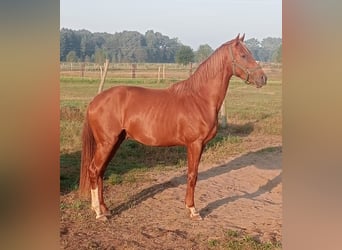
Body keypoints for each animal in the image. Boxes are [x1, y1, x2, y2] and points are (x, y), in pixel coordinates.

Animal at [78, 33, 268, 221]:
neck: (200, 98)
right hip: (107, 143)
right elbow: (192, 175)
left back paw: (105, 209)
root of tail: (95, 101)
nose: (263, 78)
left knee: (101, 172)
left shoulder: (200, 145)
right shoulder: (195, 144)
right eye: (243, 55)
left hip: (115, 142)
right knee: (94, 170)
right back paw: (98, 213)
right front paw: (192, 210)